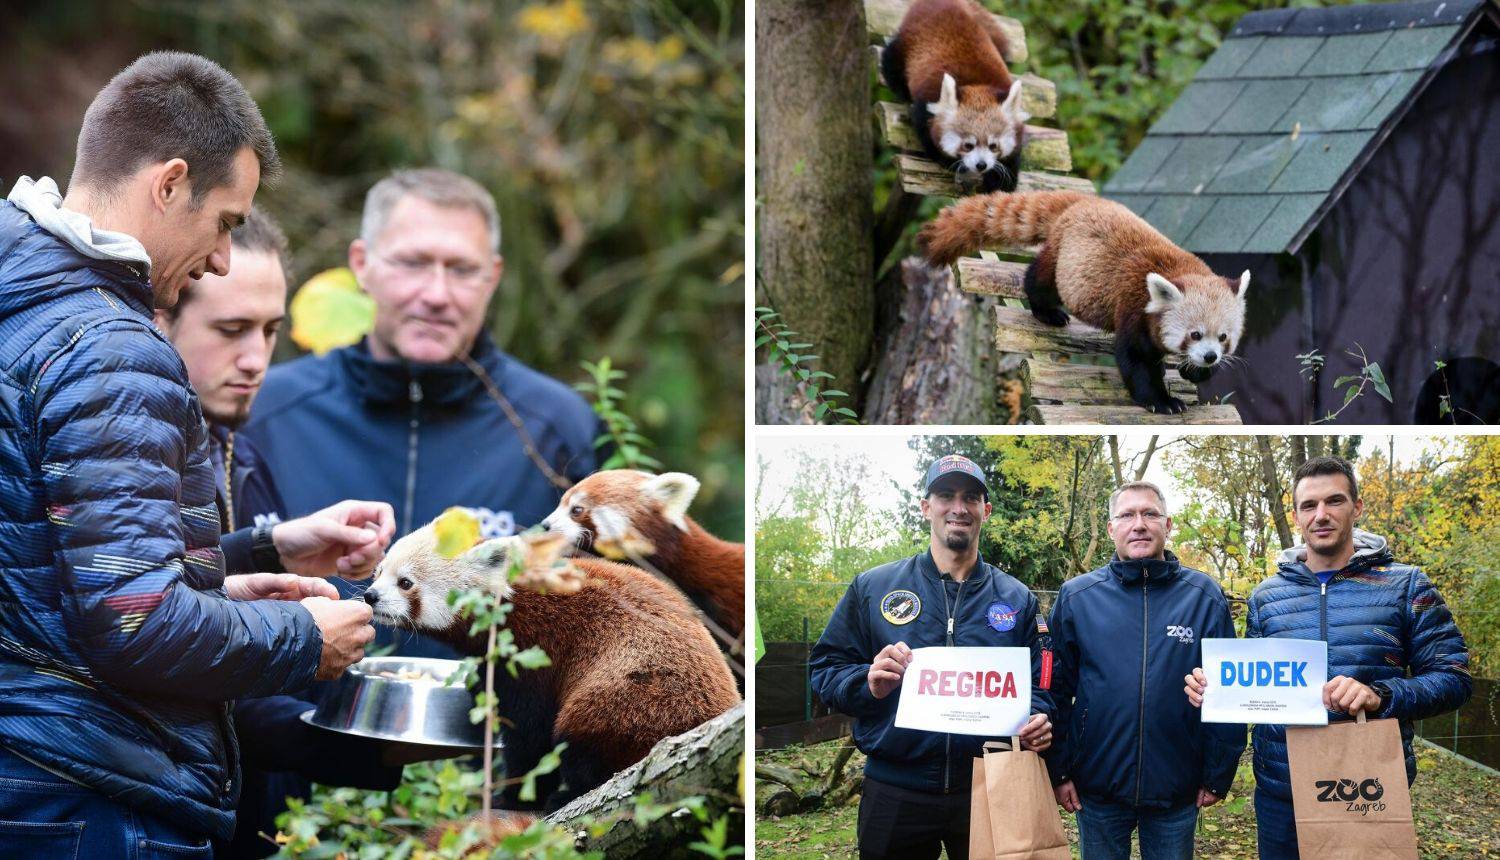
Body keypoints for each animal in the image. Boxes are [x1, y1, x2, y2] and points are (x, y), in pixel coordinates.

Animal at [363, 519, 738, 810]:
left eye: (405, 582)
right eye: (378, 572)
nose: (371, 596)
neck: (508, 603)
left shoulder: (534, 652)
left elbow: (531, 736)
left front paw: (512, 797)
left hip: (635, 698)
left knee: (583, 741)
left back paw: (569, 793)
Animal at [876, 0, 1032, 191]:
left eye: (993, 146)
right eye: (968, 145)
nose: (981, 165)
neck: (977, 85)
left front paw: (1002, 180)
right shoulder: (927, 101)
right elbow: (926, 132)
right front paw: (947, 160)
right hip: (906, 43)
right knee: (891, 62)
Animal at [918, 191, 1248, 411]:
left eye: (1223, 337)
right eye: (1195, 334)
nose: (1210, 356)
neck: (1177, 270)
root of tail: (1083, 201)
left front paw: (1194, 371)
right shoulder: (1133, 309)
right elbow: (1136, 361)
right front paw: (1162, 401)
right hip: (1063, 259)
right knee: (1041, 280)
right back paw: (1047, 311)